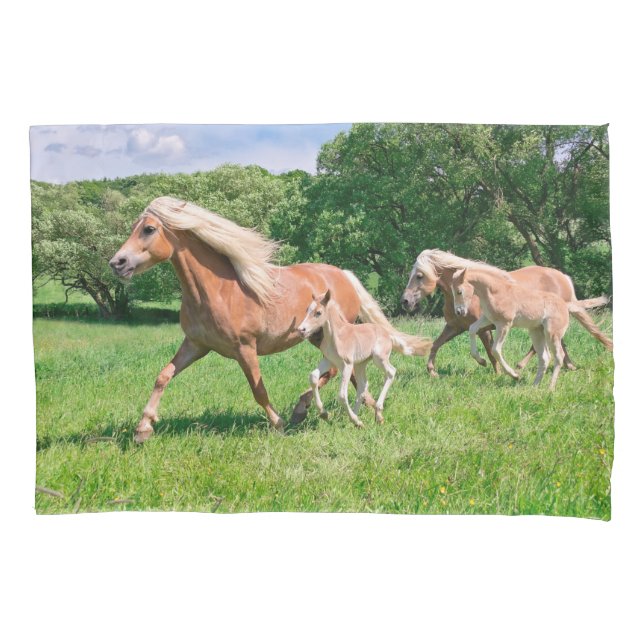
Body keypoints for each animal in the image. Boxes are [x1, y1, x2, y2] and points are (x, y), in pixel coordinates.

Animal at [297, 290, 430, 427]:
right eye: (307, 309)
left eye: (318, 312)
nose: (301, 330)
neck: (336, 336)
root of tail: (388, 334)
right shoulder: (329, 361)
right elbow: (313, 377)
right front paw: (324, 413)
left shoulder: (347, 364)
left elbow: (342, 395)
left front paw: (352, 419)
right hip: (360, 364)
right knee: (363, 385)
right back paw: (358, 418)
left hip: (378, 358)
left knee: (391, 372)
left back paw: (374, 414)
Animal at [401, 249, 612, 376]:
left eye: (419, 276)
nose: (405, 301)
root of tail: (563, 277)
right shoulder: (455, 326)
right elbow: (435, 344)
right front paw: (432, 371)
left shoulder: (484, 328)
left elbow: (490, 351)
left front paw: (493, 369)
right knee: (558, 342)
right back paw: (569, 365)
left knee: (541, 345)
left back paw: (521, 366)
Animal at [450, 267, 606, 391]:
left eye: (459, 291)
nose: (458, 312)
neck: (495, 292)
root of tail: (565, 305)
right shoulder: (488, 319)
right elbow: (472, 329)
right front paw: (481, 360)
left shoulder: (504, 324)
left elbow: (495, 350)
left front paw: (514, 375)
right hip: (536, 332)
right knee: (545, 357)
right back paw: (535, 386)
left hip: (552, 334)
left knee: (558, 356)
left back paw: (550, 387)